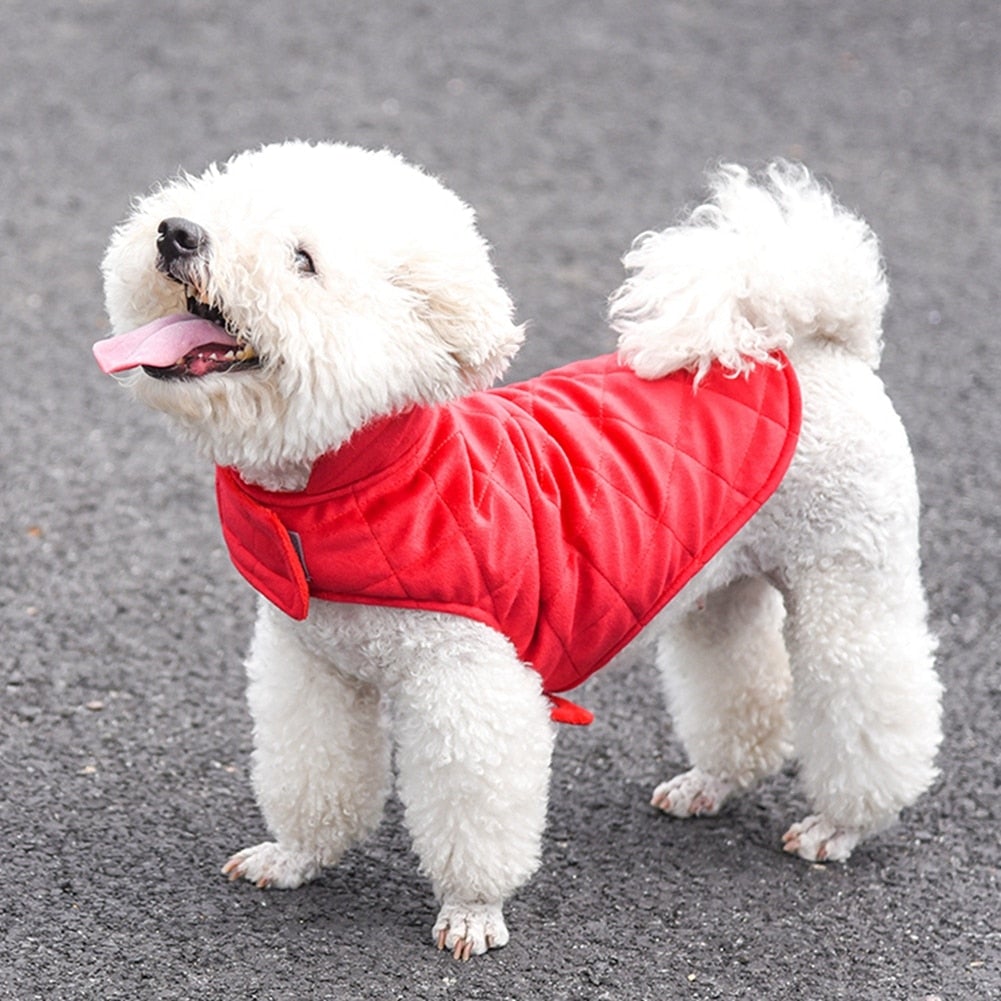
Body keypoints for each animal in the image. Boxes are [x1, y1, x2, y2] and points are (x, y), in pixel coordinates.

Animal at [94, 139, 936, 952]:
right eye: (216, 201)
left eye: (302, 259)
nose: (176, 233)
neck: (356, 482)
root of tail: (808, 342)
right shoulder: (313, 668)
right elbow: (312, 771)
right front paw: (297, 856)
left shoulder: (468, 679)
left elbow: (472, 806)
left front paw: (471, 912)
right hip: (721, 585)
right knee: (742, 685)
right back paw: (713, 781)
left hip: (849, 573)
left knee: (868, 695)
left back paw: (842, 822)